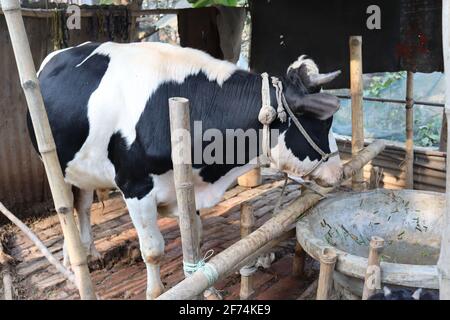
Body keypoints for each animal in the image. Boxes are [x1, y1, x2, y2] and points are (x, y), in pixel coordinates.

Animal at [29, 41, 342, 298]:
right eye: (324, 122)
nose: (338, 173)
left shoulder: (189, 185)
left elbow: (197, 236)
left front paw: (203, 285)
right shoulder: (135, 186)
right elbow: (153, 251)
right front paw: (156, 292)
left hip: (81, 167)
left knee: (82, 206)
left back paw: (89, 253)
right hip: (51, 163)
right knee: (66, 208)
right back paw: (73, 257)